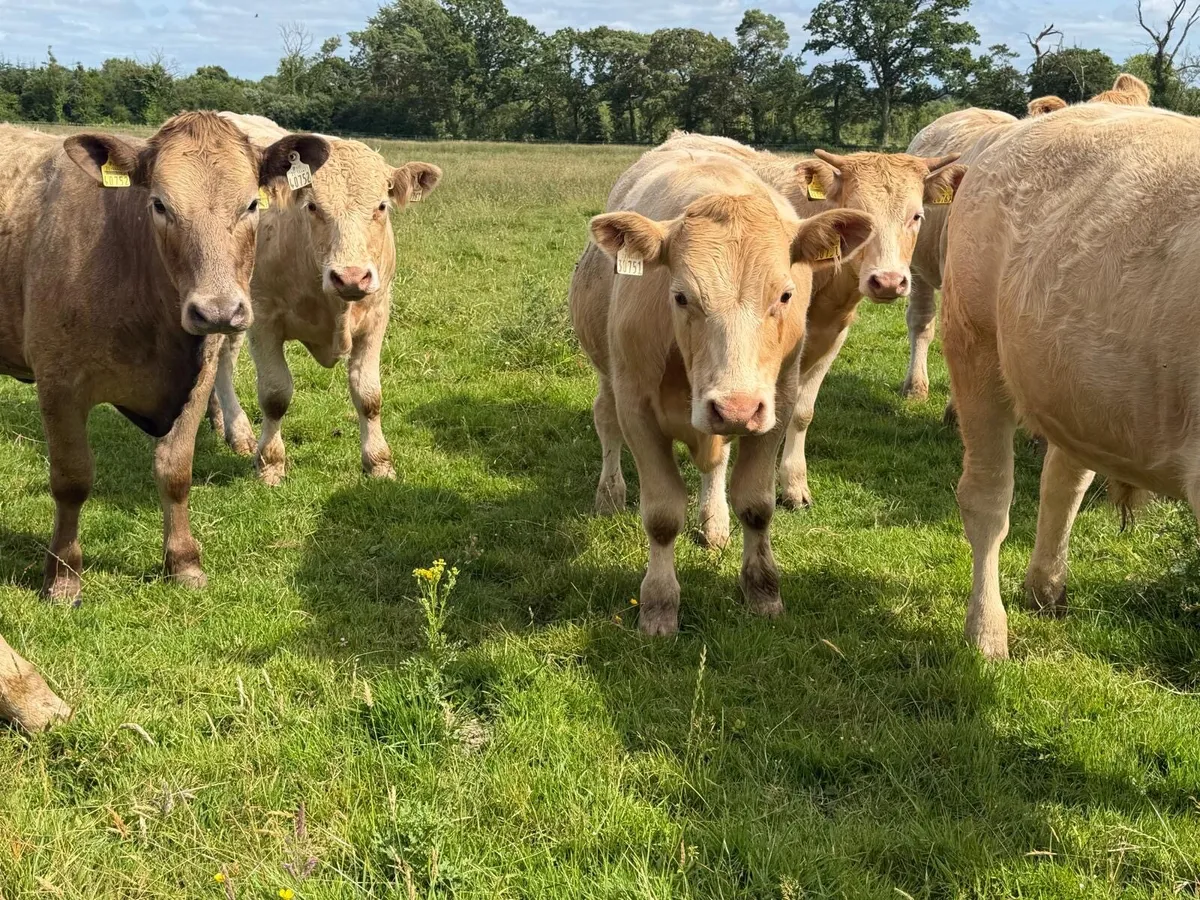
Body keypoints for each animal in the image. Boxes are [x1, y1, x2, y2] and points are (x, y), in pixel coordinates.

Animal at [0, 114, 329, 601]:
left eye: (252, 204)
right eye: (159, 204)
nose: (219, 310)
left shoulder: (197, 378)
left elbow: (175, 472)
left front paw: (184, 562)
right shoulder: (58, 384)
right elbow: (71, 479)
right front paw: (63, 576)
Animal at [207, 113, 442, 484]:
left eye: (381, 206)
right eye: (313, 206)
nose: (351, 276)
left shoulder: (377, 316)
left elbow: (369, 395)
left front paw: (378, 463)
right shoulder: (264, 319)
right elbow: (275, 394)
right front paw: (270, 464)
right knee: (219, 360)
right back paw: (237, 429)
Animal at [569, 146, 876, 635]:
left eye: (785, 295)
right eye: (680, 296)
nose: (735, 408)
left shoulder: (777, 401)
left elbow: (756, 504)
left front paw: (763, 590)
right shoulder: (636, 407)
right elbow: (661, 515)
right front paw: (659, 604)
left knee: (715, 461)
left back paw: (714, 522)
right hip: (607, 373)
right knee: (606, 422)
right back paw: (610, 494)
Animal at [658, 132, 968, 507]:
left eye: (917, 216)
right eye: (862, 215)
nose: (888, 281)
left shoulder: (833, 336)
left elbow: (802, 413)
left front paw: (794, 484)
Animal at [941, 103, 1195, 660]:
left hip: (1073, 380)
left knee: (1064, 478)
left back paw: (1046, 587)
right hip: (974, 340)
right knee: (988, 496)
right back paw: (987, 632)